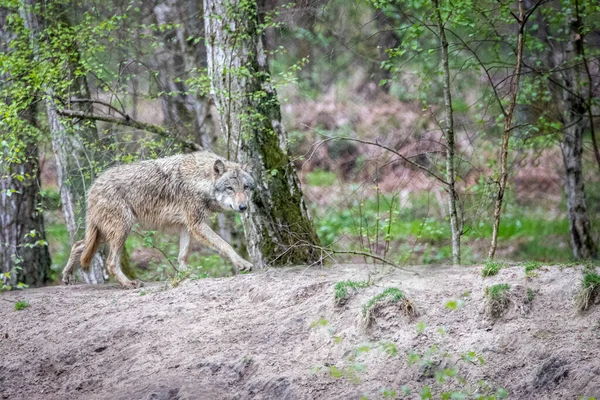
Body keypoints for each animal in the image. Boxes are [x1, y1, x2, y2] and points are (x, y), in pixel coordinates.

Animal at [62, 151, 254, 288]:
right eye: (230, 188)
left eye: (245, 187)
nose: (243, 207)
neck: (199, 180)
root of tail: (93, 186)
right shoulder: (197, 224)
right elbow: (225, 245)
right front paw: (242, 263)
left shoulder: (187, 225)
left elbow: (182, 255)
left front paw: (187, 275)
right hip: (122, 230)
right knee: (110, 262)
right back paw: (129, 283)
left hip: (104, 234)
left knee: (78, 245)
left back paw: (67, 276)